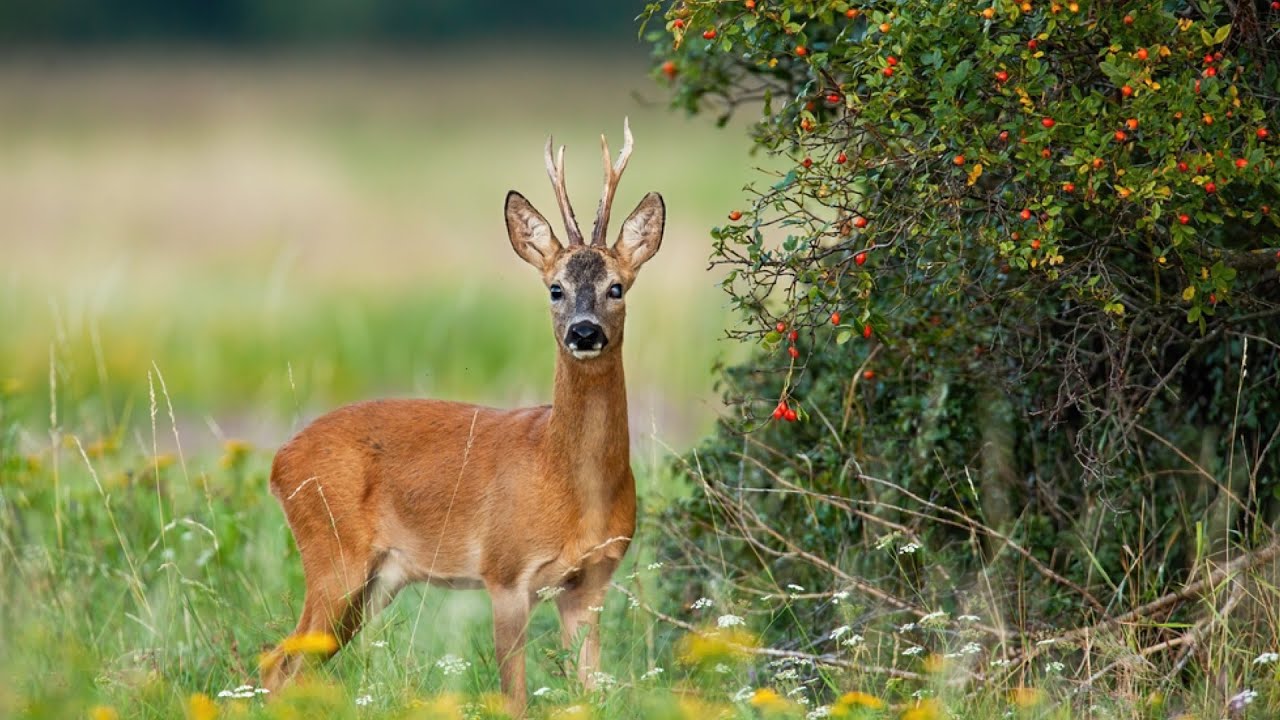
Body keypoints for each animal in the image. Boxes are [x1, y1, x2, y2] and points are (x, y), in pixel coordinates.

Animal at [256, 117, 665, 712]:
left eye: (616, 287)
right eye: (555, 288)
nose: (584, 331)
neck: (566, 480)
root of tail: (278, 462)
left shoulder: (590, 582)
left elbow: (588, 693)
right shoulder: (506, 573)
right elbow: (514, 698)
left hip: (377, 580)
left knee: (292, 665)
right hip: (332, 553)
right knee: (277, 663)